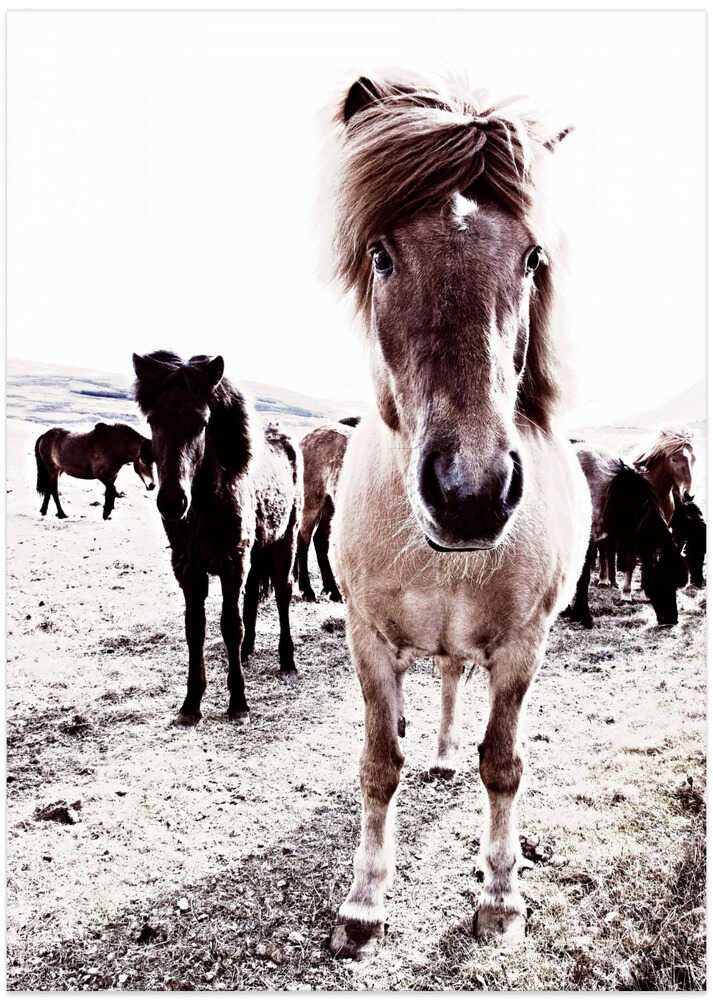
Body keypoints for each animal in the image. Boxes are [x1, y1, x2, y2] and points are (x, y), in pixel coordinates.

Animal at [132, 351, 302, 726]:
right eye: (152, 420)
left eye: (201, 422)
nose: (172, 502)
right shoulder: (189, 568)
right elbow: (196, 628)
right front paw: (190, 704)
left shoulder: (231, 563)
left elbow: (229, 626)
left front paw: (238, 702)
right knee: (252, 596)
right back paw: (249, 651)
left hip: (285, 542)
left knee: (282, 595)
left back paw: (287, 661)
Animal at [294, 422, 356, 602]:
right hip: (311, 503)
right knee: (303, 540)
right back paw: (307, 590)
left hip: (330, 505)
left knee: (320, 540)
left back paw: (332, 590)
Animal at [324, 75, 591, 958]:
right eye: (381, 255)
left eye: (532, 258)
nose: (469, 490)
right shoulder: (368, 639)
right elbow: (378, 764)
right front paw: (364, 902)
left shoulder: (522, 647)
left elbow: (502, 764)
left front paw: (502, 896)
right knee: (439, 683)